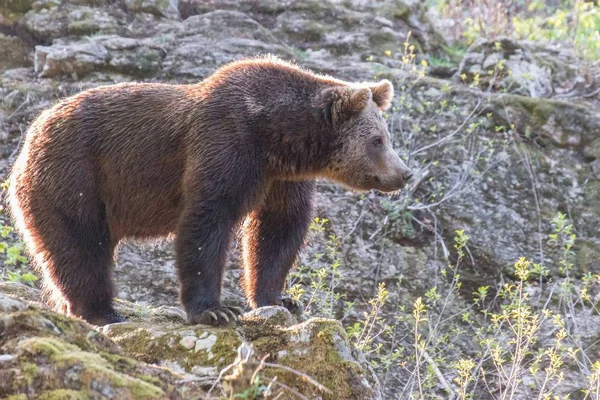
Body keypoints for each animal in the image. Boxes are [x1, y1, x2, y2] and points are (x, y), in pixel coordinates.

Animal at [8, 55, 412, 324]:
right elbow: (207, 221)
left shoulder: (281, 178)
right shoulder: (226, 143)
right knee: (81, 246)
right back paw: (102, 310)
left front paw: (278, 300)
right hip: (75, 177)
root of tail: (30, 135)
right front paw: (216, 310)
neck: (277, 136)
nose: (404, 173)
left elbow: (278, 229)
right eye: (377, 140)